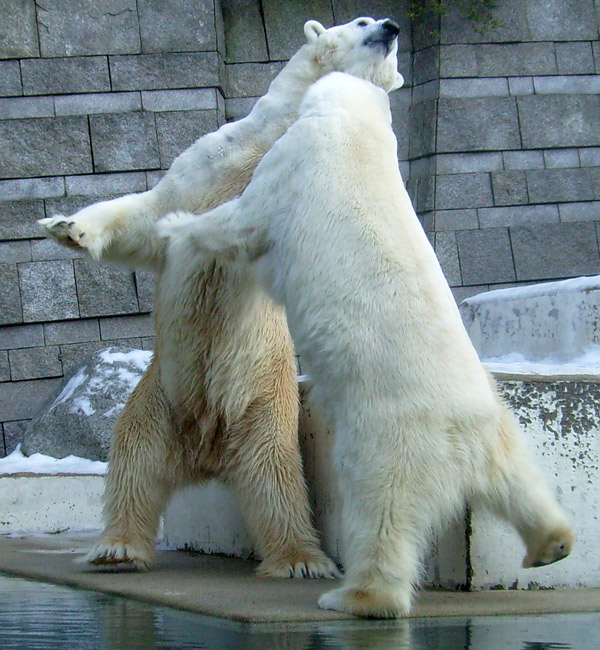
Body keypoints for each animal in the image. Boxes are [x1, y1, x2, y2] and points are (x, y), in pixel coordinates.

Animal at [36, 16, 404, 576]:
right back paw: (118, 547)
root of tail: (204, 451)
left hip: (265, 404)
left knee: (277, 480)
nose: (392, 25)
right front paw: (66, 226)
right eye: (362, 20)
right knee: (133, 462)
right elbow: (145, 215)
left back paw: (300, 559)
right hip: (159, 398)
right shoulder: (207, 164)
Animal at [159, 72, 576, 616]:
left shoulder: (291, 167)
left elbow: (240, 221)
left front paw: (174, 225)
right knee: (521, 483)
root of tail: (459, 438)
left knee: (381, 515)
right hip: (496, 429)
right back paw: (552, 544)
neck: (358, 133)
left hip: (388, 441)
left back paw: (355, 596)